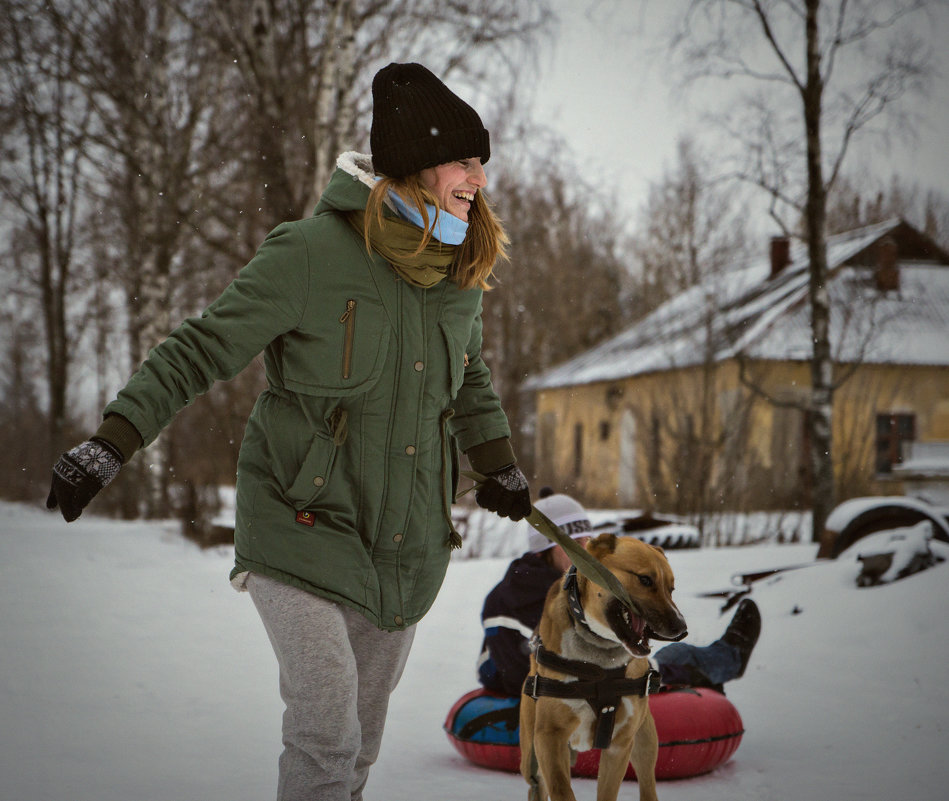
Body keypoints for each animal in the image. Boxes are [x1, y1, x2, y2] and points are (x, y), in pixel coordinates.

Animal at [520, 532, 688, 800]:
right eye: (645, 579)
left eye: (671, 588)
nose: (682, 628)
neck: (599, 660)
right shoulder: (549, 737)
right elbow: (560, 788)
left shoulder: (620, 743)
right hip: (530, 754)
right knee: (537, 783)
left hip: (645, 740)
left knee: (648, 782)